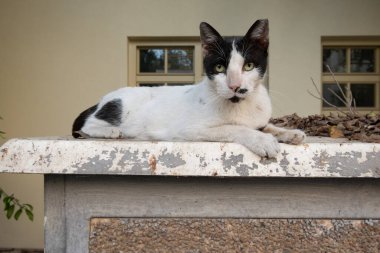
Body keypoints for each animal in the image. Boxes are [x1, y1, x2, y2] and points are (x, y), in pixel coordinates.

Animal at [72, 20, 306, 158]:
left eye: (248, 65)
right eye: (220, 67)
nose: (235, 86)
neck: (241, 105)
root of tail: (100, 100)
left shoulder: (259, 119)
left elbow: (266, 125)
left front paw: (288, 132)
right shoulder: (188, 129)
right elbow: (233, 128)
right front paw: (263, 141)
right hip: (126, 102)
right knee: (86, 124)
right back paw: (111, 131)